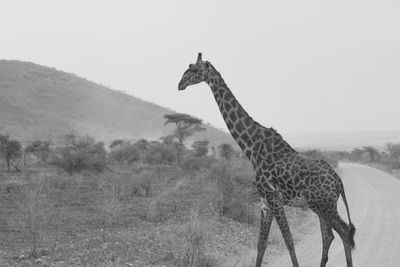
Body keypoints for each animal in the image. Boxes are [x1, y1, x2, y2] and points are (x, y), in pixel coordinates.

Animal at [178, 53, 356, 266]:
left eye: (194, 69)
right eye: (188, 66)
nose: (180, 84)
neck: (252, 147)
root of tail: (338, 181)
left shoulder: (274, 197)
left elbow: (289, 241)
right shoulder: (264, 203)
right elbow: (261, 244)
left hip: (324, 204)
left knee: (344, 231)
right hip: (320, 205)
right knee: (329, 235)